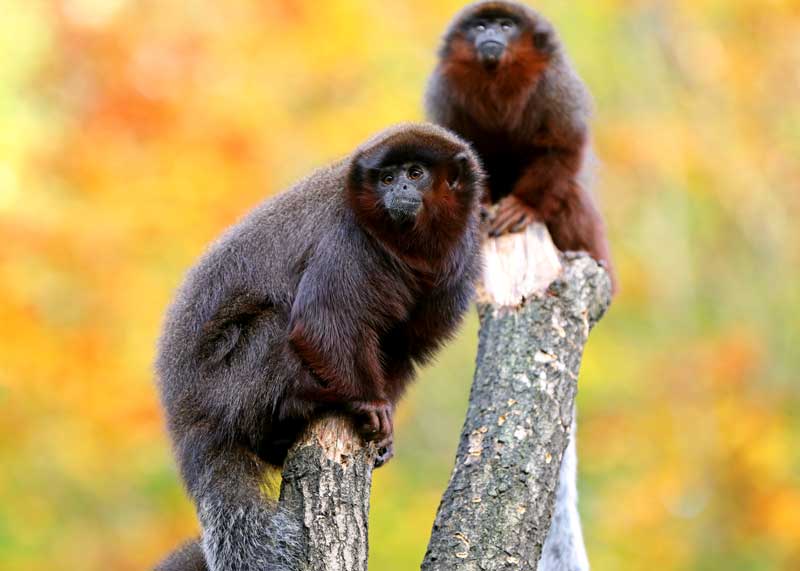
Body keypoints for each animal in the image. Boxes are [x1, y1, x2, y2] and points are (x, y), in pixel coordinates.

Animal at [155, 123, 482, 568]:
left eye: (415, 173)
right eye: (387, 178)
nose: (398, 189)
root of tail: (186, 419)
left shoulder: (459, 263)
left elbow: (403, 348)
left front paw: (385, 428)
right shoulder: (347, 239)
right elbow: (322, 323)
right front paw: (368, 404)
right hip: (224, 386)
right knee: (278, 322)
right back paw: (301, 402)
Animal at [428, 0, 616, 288]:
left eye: (506, 26)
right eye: (480, 26)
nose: (491, 32)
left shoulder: (555, 85)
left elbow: (562, 143)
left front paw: (524, 205)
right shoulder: (446, 91)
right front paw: (479, 207)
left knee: (569, 193)